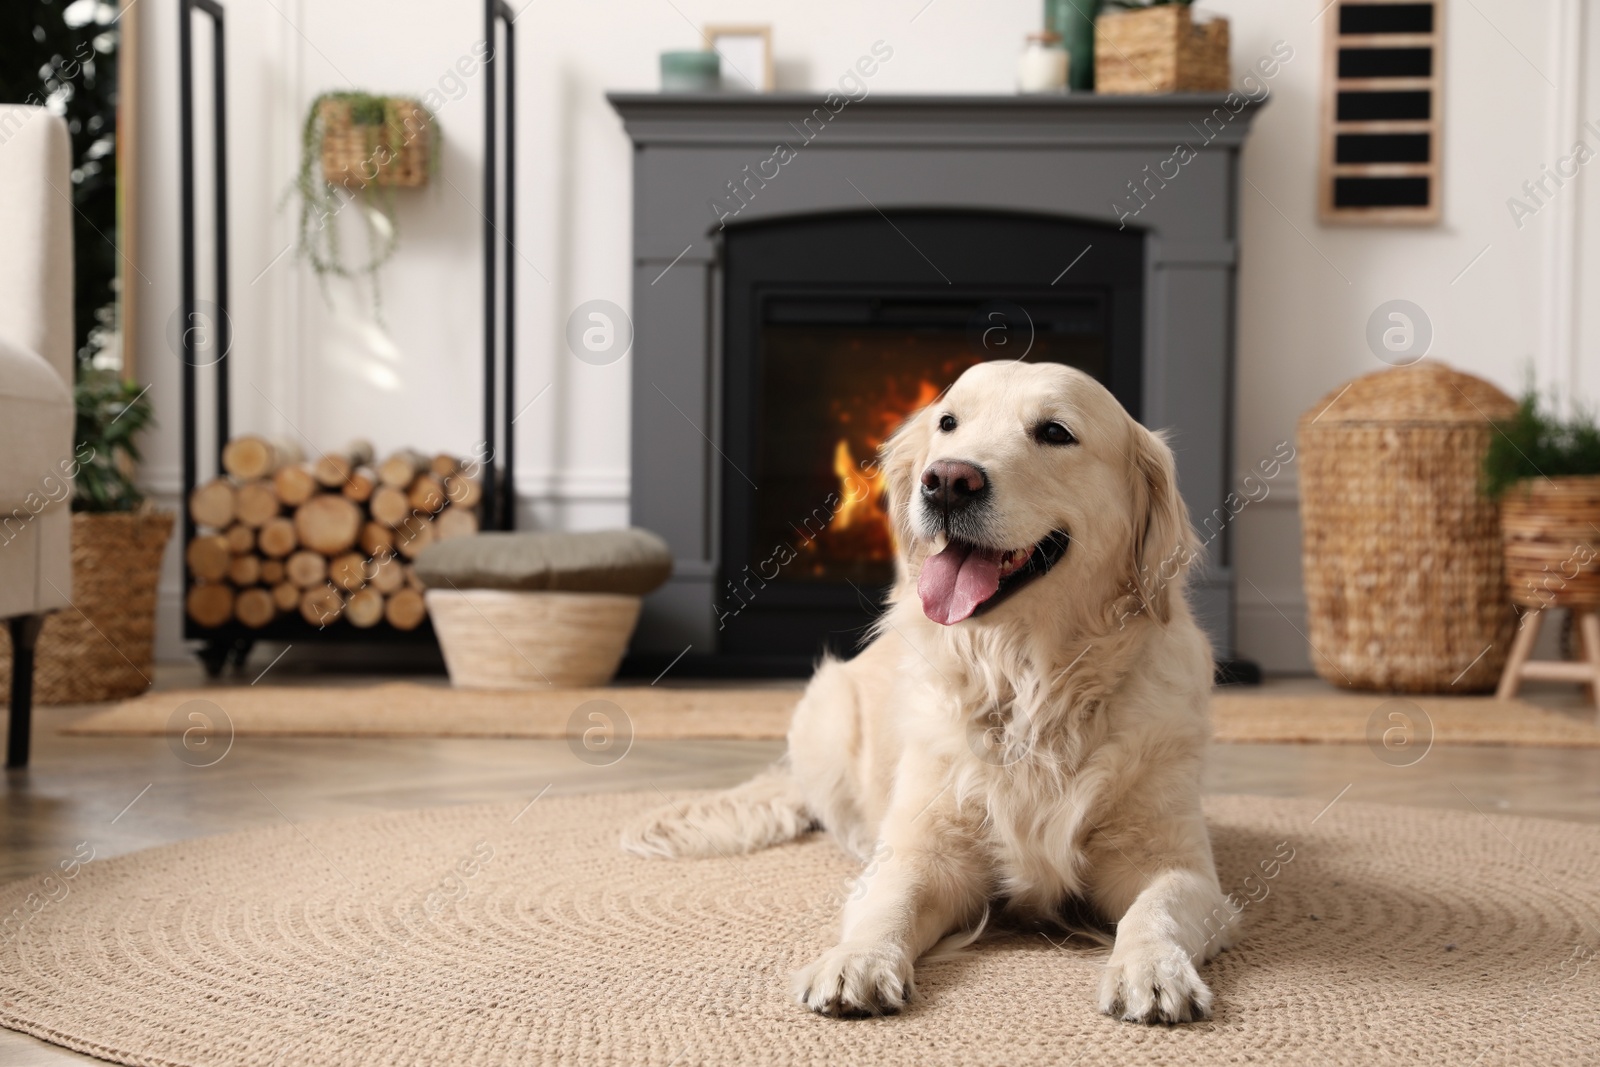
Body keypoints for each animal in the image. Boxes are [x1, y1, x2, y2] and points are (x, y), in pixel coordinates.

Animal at [617, 361, 1228, 1023]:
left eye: (1055, 432)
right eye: (948, 422)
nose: (948, 481)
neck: (1028, 681)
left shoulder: (1177, 863)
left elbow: (1156, 909)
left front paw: (1153, 969)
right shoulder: (923, 848)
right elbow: (891, 901)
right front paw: (856, 961)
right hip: (826, 707)